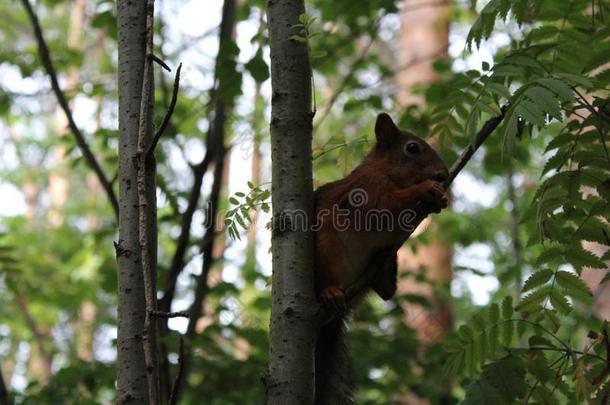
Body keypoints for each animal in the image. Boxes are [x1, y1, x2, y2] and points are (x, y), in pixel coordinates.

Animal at [312, 112, 448, 402]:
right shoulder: (366, 190)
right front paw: (427, 189)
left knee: (386, 293)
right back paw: (329, 292)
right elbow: (386, 206)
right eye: (412, 148)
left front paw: (438, 202)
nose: (443, 175)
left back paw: (385, 264)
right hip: (325, 249)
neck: (386, 172)